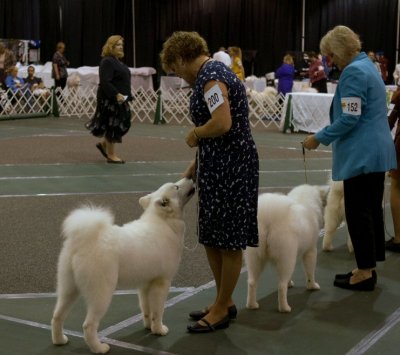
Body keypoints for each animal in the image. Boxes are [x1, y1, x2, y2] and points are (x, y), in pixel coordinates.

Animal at [51, 178, 195, 354]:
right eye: (177, 186)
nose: (190, 178)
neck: (164, 222)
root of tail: (85, 240)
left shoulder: (145, 285)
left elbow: (146, 309)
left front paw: (148, 327)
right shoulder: (162, 282)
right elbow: (158, 311)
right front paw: (159, 329)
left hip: (68, 288)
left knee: (57, 316)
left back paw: (60, 340)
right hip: (101, 293)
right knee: (88, 325)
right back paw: (99, 348)